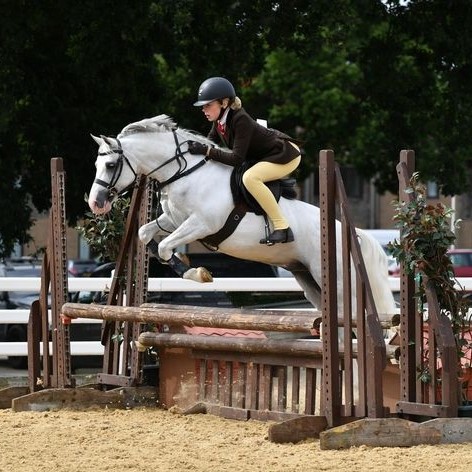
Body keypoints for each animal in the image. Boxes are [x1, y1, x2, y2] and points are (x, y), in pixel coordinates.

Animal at [87, 115, 394, 320]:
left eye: (111, 164)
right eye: (96, 163)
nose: (95, 203)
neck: (185, 172)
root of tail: (354, 235)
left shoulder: (202, 224)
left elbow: (164, 246)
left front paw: (197, 273)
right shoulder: (173, 221)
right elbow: (146, 235)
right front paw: (187, 268)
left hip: (337, 283)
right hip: (308, 279)